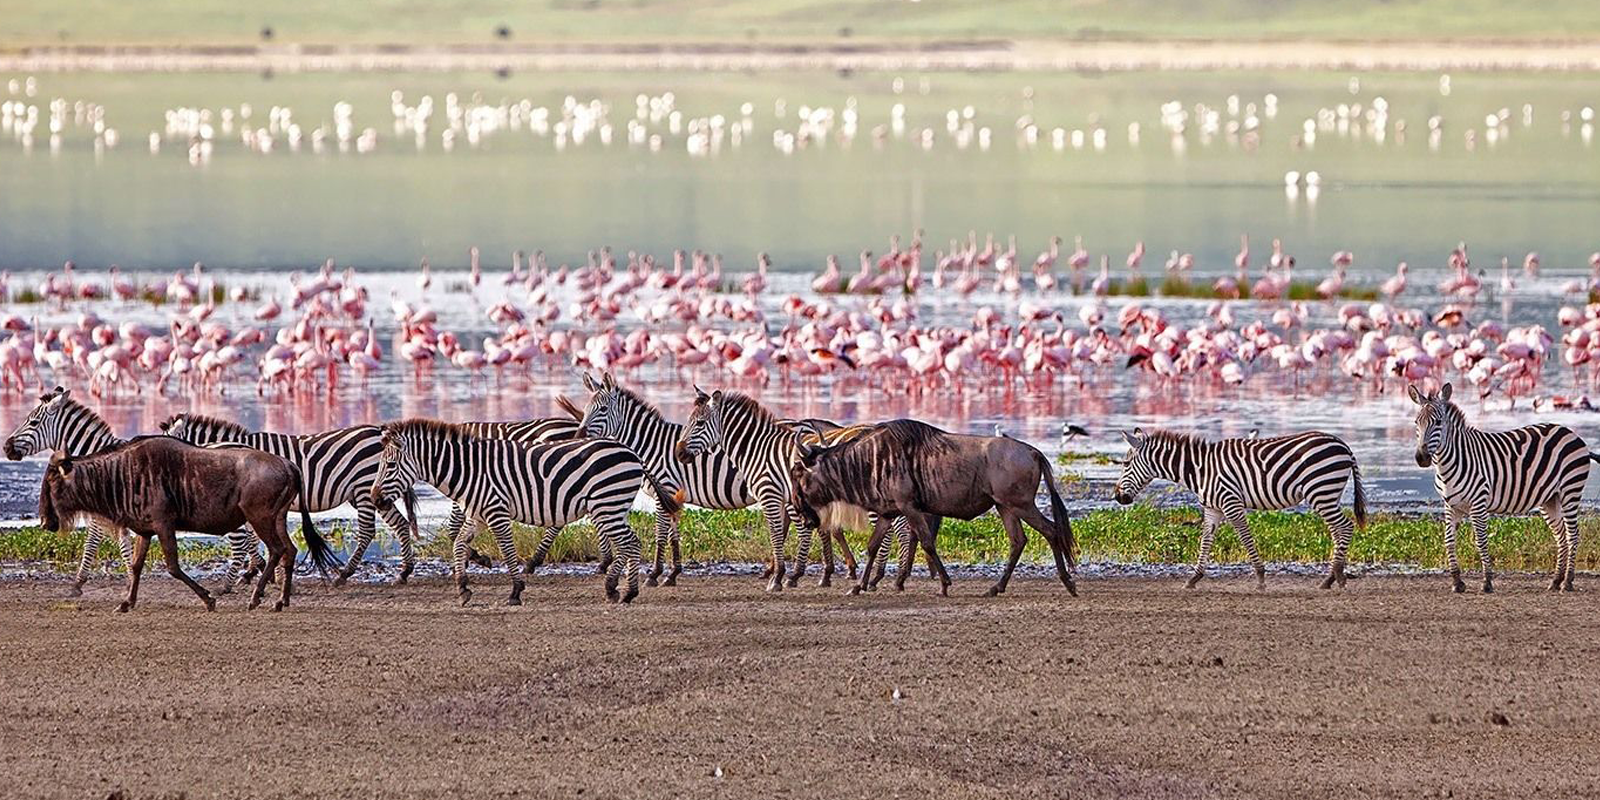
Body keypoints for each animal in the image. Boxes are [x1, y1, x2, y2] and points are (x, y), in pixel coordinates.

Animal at [159, 416, 412, 585]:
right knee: (400, 523)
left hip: (364, 488)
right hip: (373, 493)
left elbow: (250, 538)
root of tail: (378, 431)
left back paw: (344, 574)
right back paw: (404, 571)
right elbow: (253, 538)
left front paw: (259, 571)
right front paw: (258, 570)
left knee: (368, 531)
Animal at [371, 422, 678, 601]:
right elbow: (459, 544)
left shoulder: (496, 511)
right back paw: (617, 588)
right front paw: (463, 587)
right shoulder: (477, 515)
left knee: (631, 543)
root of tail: (631, 452)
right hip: (612, 507)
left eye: (390, 466)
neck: (470, 470)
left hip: (607, 505)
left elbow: (508, 551)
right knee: (628, 543)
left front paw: (516, 590)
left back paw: (625, 591)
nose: (374, 499)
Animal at [1113, 425, 1363, 588]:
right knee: (1337, 530)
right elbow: (1206, 541)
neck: (1200, 469)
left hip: (1321, 491)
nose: (1117, 497)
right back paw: (1331, 578)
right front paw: (1193, 579)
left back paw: (1335, 577)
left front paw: (1260, 578)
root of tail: (1343, 445)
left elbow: (1245, 537)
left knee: (1345, 526)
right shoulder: (1212, 509)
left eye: (1125, 464)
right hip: (1326, 494)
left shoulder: (1231, 503)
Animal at [1408, 380, 1593, 595]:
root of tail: (1570, 432)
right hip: (1549, 499)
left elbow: (1481, 541)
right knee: (1561, 537)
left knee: (1573, 536)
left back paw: (1568, 582)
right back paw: (1556, 581)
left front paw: (1487, 582)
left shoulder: (1478, 504)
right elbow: (1449, 540)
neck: (1450, 462)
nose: (1421, 458)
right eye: (1416, 423)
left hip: (1570, 490)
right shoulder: (1451, 506)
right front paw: (1457, 582)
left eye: (1438, 423)